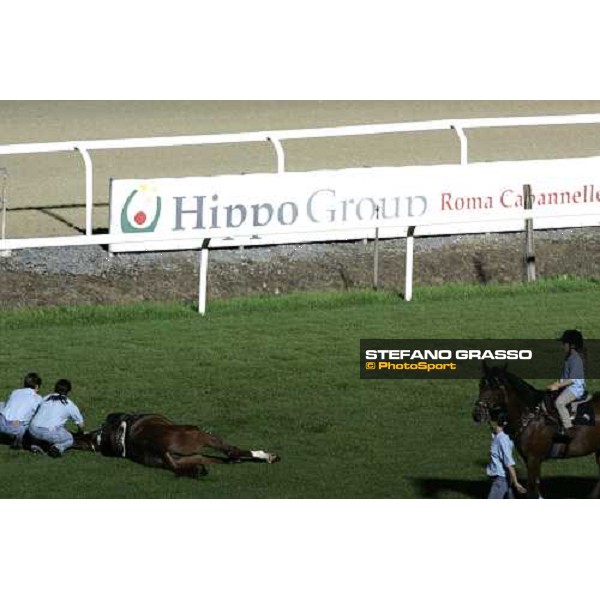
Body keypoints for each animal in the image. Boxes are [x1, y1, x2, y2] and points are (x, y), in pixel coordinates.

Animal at [73, 412, 282, 478]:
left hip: (195, 456)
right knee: (232, 452)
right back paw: (267, 456)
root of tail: (160, 449)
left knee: (224, 459)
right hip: (198, 436)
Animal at [472, 364, 600, 500]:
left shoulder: (533, 458)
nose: (477, 414)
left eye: (495, 387)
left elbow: (532, 489)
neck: (531, 417)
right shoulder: (529, 459)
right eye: (480, 385)